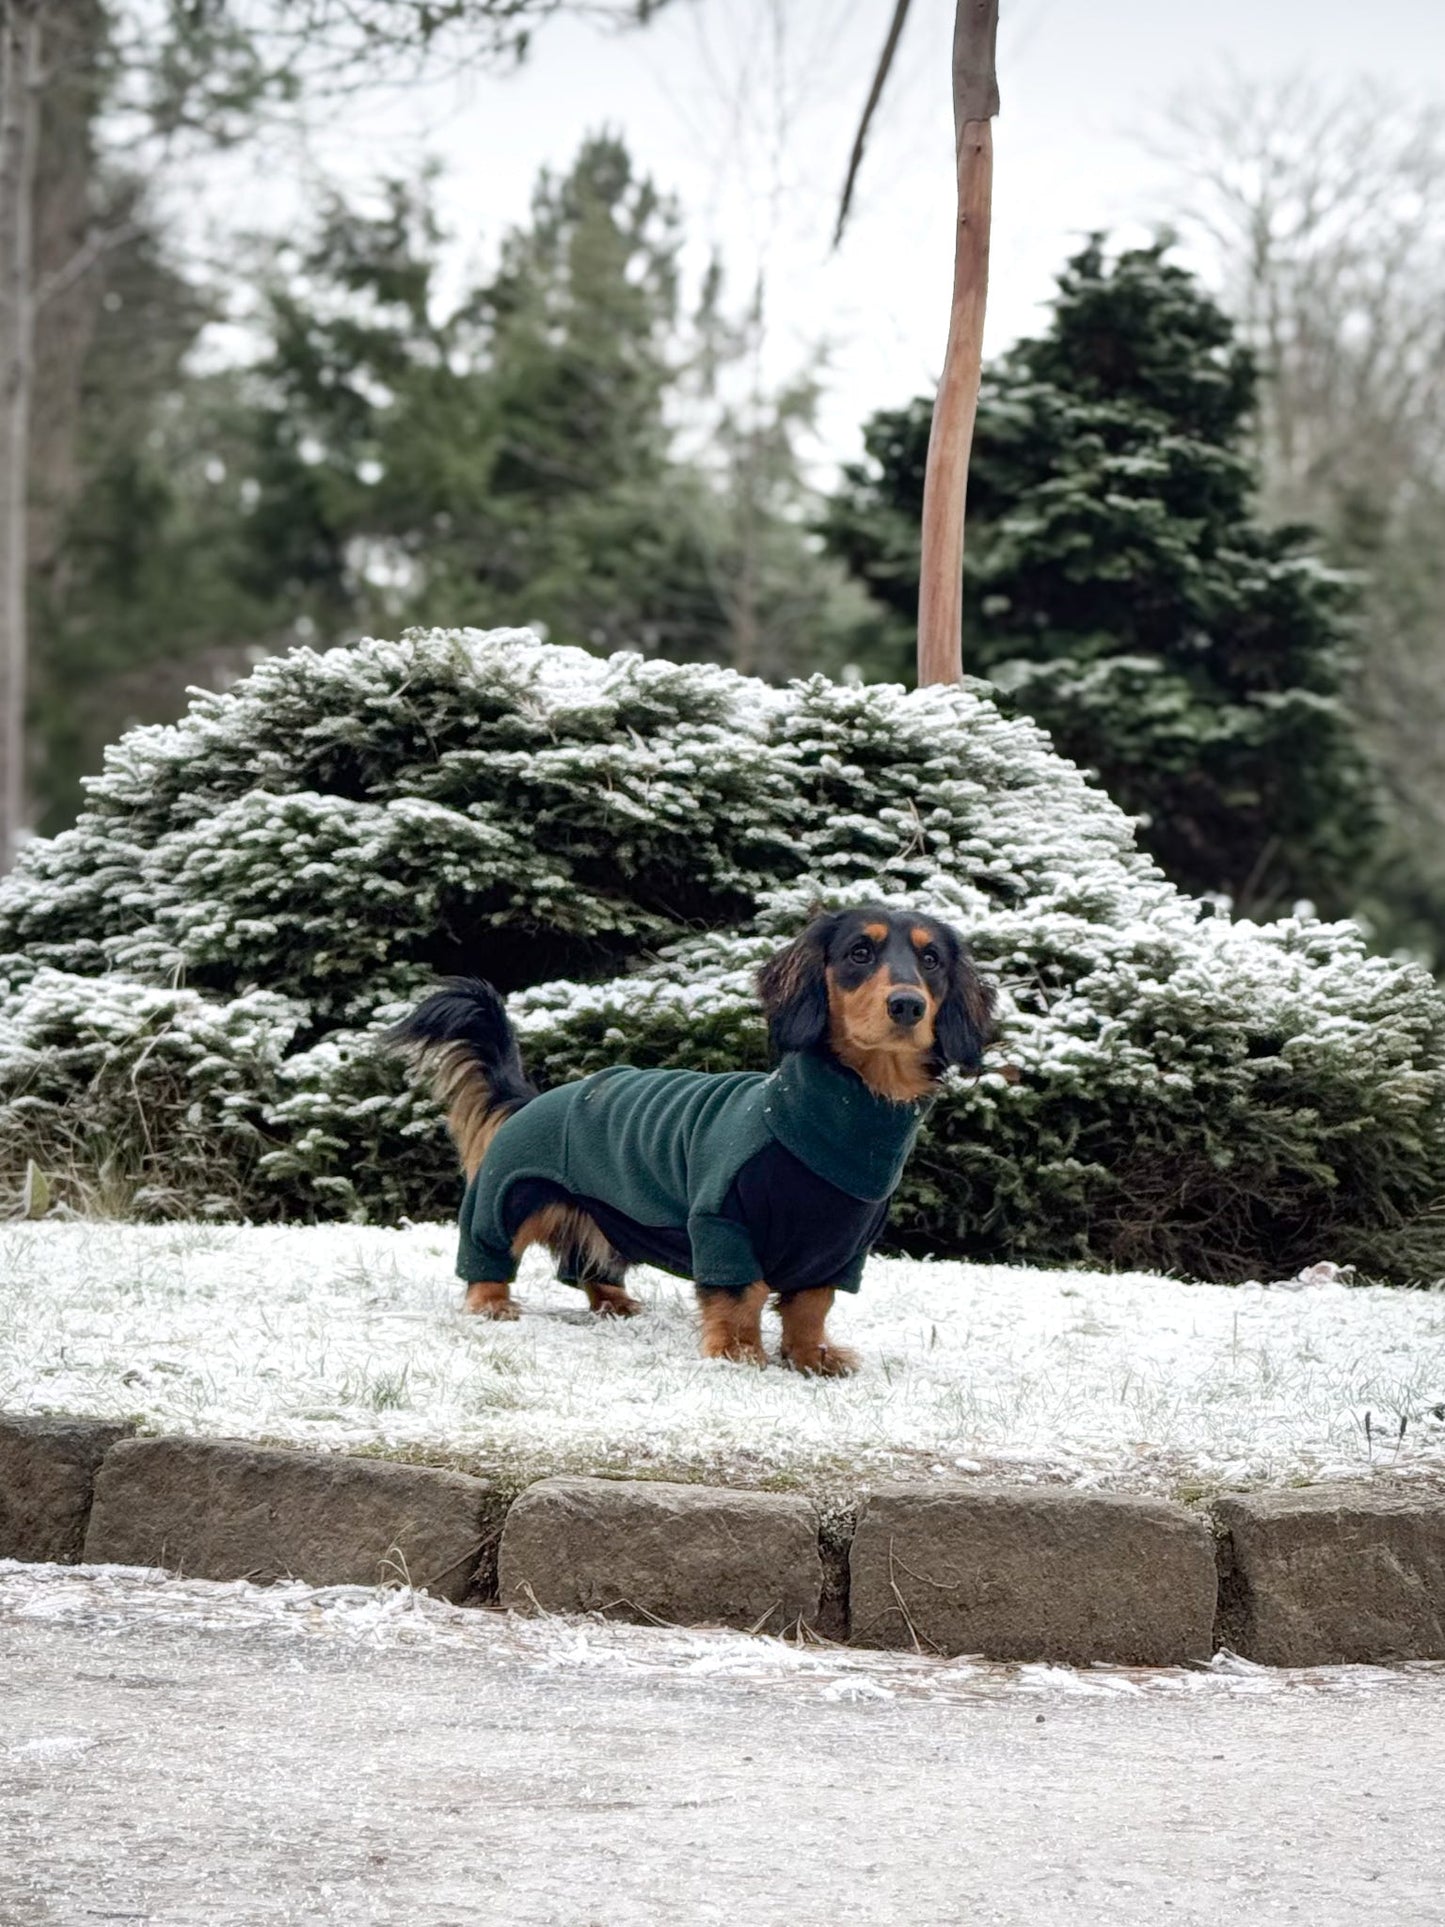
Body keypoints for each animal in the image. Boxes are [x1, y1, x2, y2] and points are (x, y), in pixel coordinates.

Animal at [391, 901, 994, 1372]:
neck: (838, 1117)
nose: (907, 1005)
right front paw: (737, 1351)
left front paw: (811, 1357)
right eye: (860, 953)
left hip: (609, 1217)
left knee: (585, 1267)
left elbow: (811, 1305)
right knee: (488, 1249)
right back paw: (491, 1302)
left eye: (931, 960)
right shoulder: (722, 1222)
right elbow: (741, 1293)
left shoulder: (841, 1250)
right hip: (510, 1196)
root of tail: (535, 1098)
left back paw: (616, 1304)